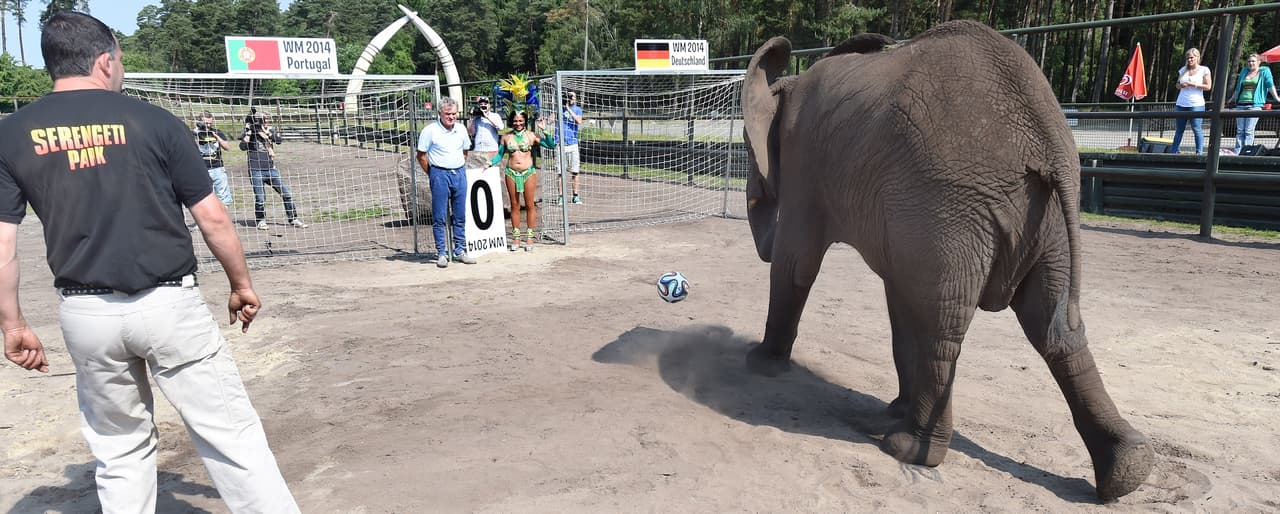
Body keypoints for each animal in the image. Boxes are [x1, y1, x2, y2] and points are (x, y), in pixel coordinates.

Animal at [741, 20, 1154, 500]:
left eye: (748, 151)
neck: (787, 85)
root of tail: (1045, 138)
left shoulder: (806, 159)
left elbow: (797, 265)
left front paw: (760, 363)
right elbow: (899, 298)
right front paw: (894, 408)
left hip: (952, 207)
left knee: (944, 327)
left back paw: (910, 449)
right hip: (1039, 219)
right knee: (1055, 330)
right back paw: (1128, 470)